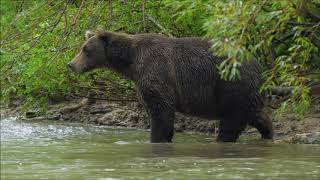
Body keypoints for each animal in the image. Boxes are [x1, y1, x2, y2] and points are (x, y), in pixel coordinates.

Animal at [67, 30, 272, 143]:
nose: (71, 64)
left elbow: (161, 111)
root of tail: (256, 62)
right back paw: (267, 134)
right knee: (256, 115)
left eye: (85, 49)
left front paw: (156, 138)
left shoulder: (156, 71)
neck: (131, 62)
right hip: (246, 91)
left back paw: (223, 138)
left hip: (230, 84)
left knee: (231, 120)